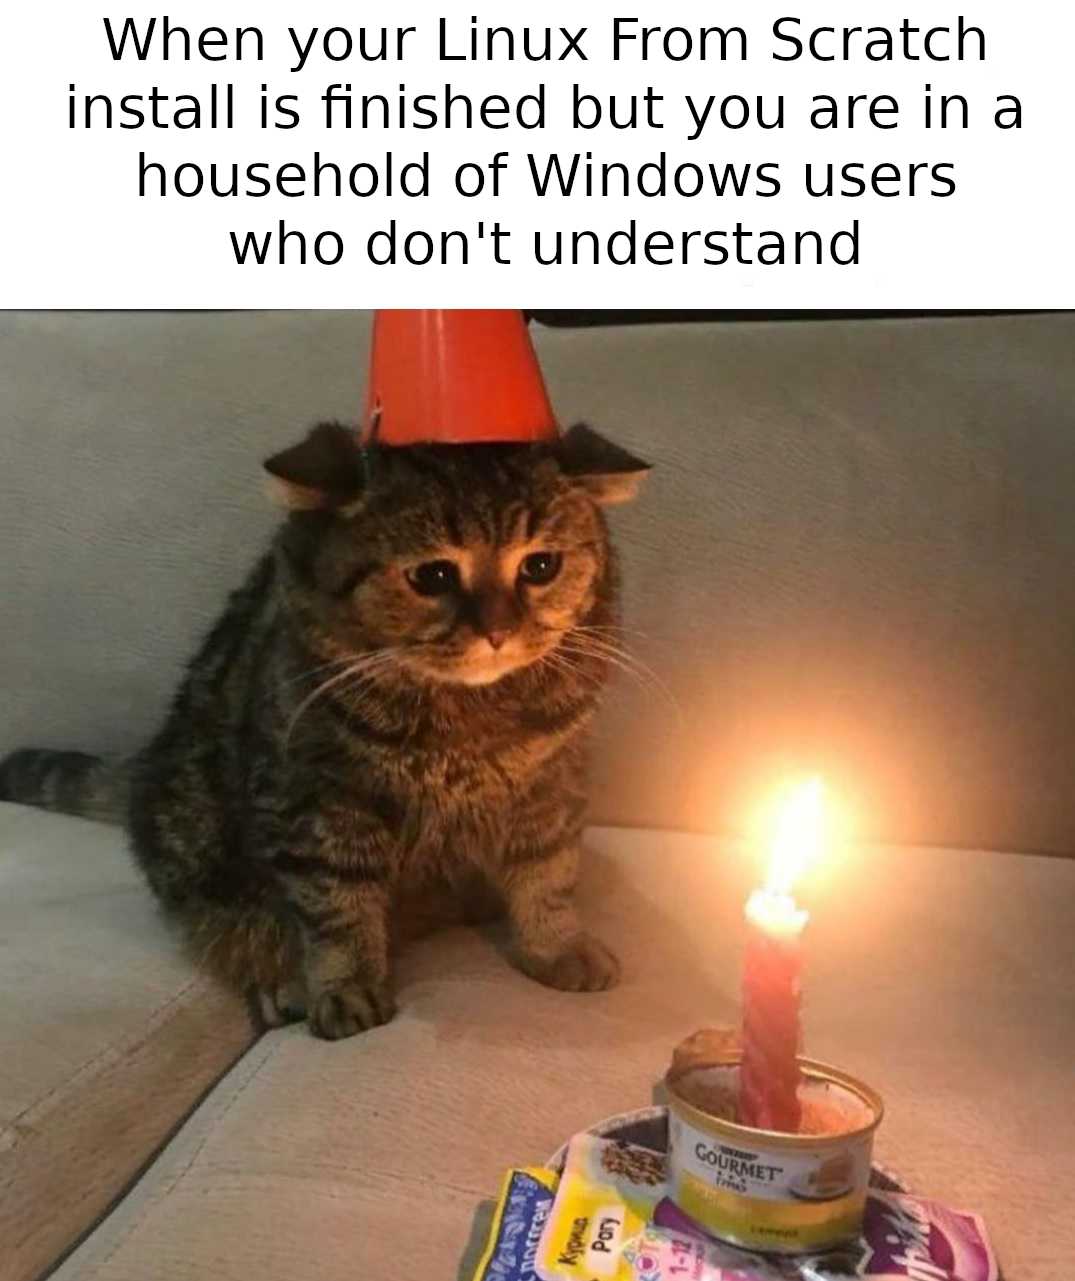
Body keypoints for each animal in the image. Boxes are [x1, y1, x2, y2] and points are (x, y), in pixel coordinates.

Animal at [0, 422, 648, 1040]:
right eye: (434, 575)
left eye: (541, 566)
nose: (498, 632)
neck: (467, 717)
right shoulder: (316, 804)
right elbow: (337, 907)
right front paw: (346, 986)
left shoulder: (552, 784)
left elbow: (549, 872)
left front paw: (557, 944)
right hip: (203, 851)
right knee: (244, 930)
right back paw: (283, 983)